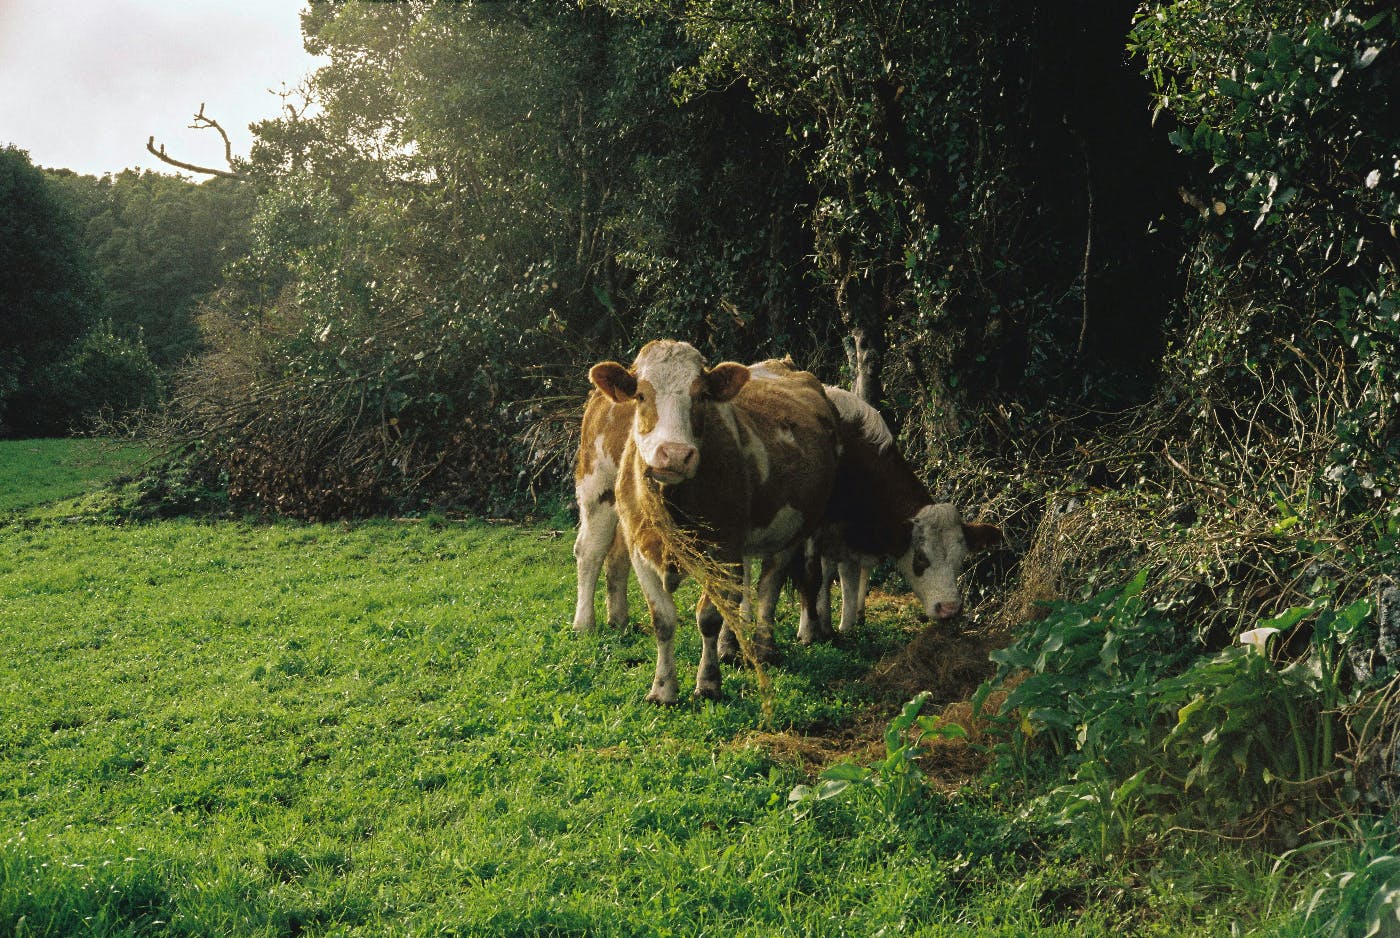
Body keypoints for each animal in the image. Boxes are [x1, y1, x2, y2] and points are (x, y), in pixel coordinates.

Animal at [585, 343, 834, 705]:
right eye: (641, 395)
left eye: (702, 395)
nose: (674, 454)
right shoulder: (640, 549)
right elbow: (663, 619)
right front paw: (663, 689)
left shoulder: (723, 548)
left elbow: (709, 616)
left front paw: (708, 682)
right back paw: (731, 647)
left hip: (798, 526)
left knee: (770, 586)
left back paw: (766, 646)